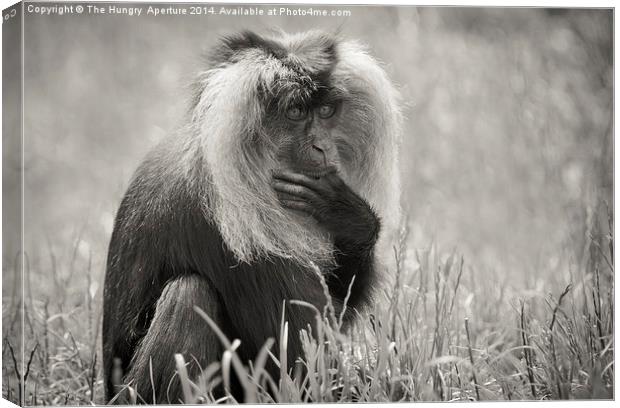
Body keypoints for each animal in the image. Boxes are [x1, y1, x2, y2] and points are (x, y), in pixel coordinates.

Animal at [101, 30, 402, 404]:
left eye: (326, 111)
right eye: (295, 111)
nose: (322, 147)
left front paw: (349, 218)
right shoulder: (233, 227)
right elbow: (301, 359)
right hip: (133, 393)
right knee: (190, 294)